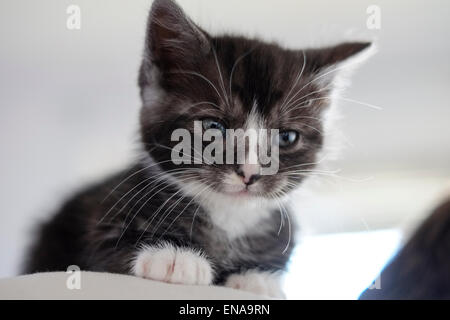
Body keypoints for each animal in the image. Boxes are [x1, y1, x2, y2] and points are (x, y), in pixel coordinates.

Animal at [22, 0, 370, 298]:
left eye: (286, 138)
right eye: (214, 127)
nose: (250, 173)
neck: (226, 216)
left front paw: (258, 279)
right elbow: (104, 255)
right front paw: (173, 257)